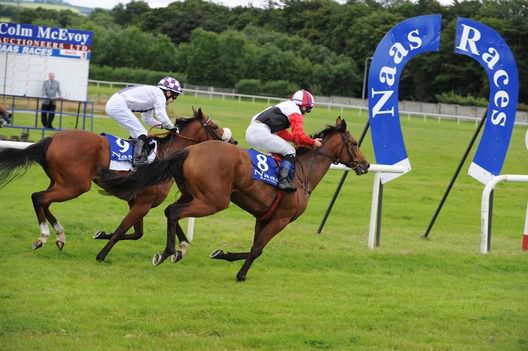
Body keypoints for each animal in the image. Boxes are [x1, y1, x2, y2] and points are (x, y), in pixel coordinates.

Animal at [0, 107, 237, 258]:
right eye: (214, 127)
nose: (233, 142)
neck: (165, 156)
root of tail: (52, 139)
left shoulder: (137, 202)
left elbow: (141, 231)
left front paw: (183, 247)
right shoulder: (143, 203)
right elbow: (124, 228)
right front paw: (102, 254)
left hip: (60, 182)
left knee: (44, 201)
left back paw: (59, 236)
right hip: (75, 186)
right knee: (39, 198)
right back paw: (43, 237)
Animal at [97, 117, 370, 282]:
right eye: (355, 142)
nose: (366, 164)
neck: (303, 173)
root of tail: (189, 150)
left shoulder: (263, 217)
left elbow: (253, 246)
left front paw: (222, 254)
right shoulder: (281, 219)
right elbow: (258, 249)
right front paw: (241, 275)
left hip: (193, 194)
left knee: (171, 211)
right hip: (214, 201)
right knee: (173, 212)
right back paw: (167, 252)